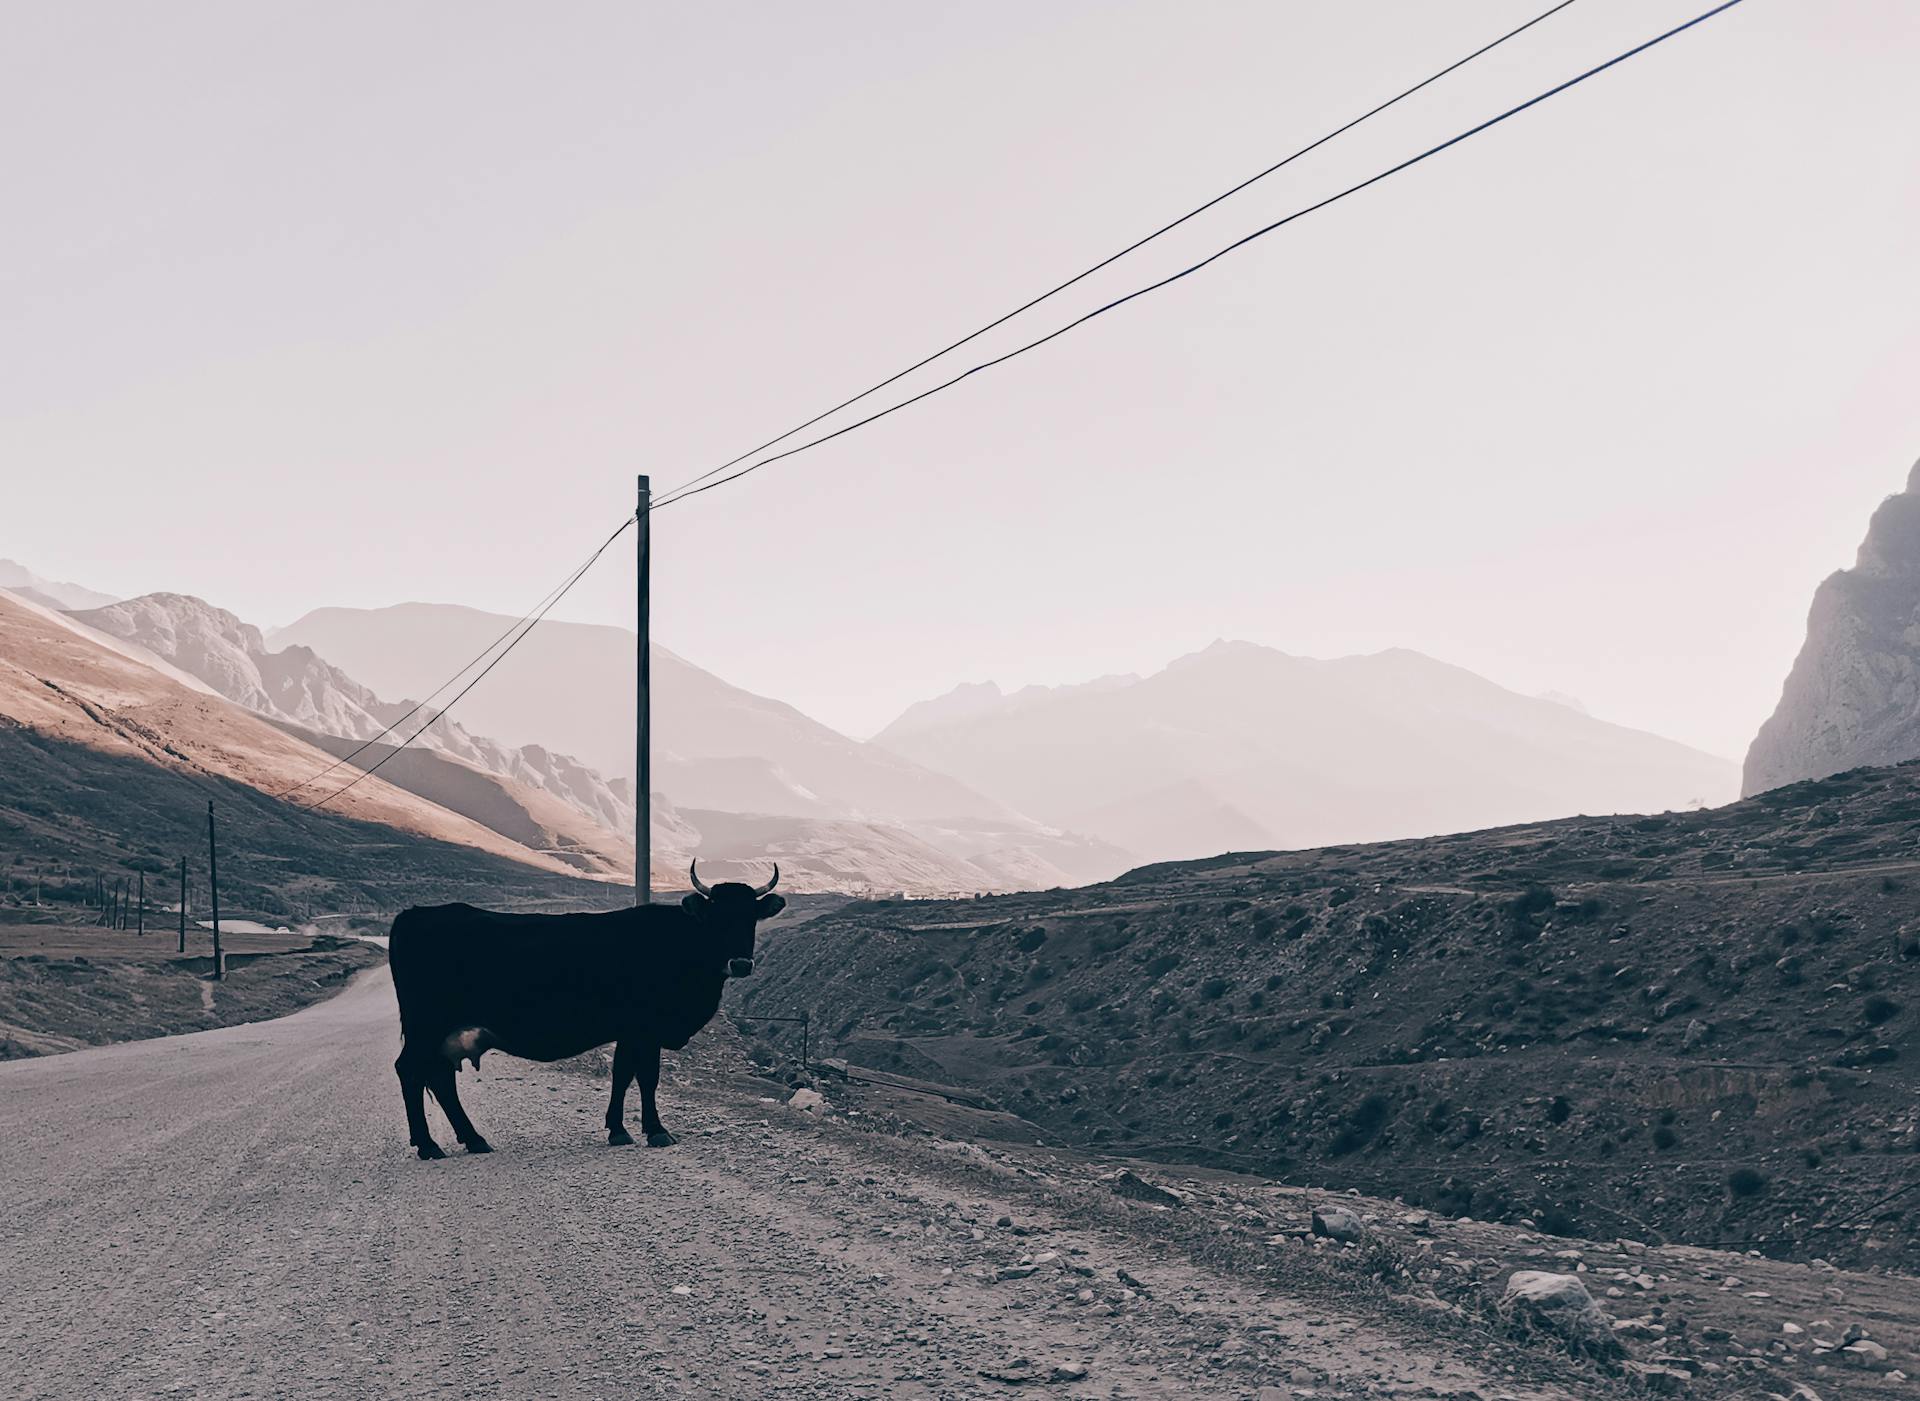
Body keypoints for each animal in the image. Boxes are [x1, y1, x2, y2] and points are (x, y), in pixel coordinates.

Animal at [385, 863, 783, 1159]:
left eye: (751, 917)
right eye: (717, 917)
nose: (741, 964)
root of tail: (413, 914)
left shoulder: (629, 1031)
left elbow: (622, 1075)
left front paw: (618, 1130)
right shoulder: (646, 1028)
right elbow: (647, 1077)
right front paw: (656, 1131)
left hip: (443, 1033)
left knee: (439, 1078)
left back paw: (473, 1140)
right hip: (426, 1026)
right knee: (410, 1071)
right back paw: (429, 1145)